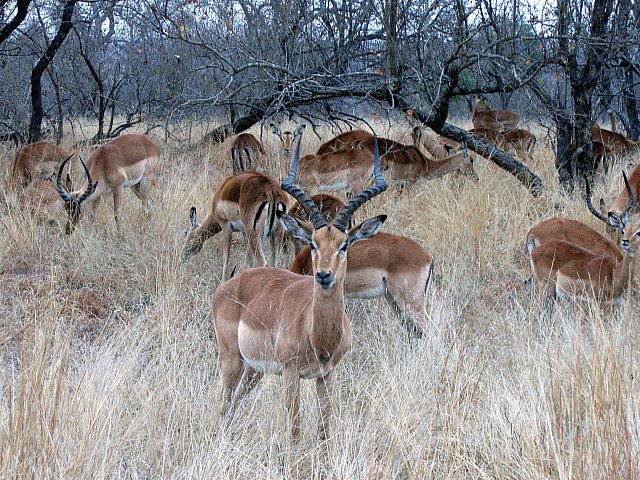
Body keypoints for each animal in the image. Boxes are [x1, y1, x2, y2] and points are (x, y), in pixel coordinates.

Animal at [211, 133, 388, 441]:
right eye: (313, 243)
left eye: (344, 245)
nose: (324, 276)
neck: (317, 334)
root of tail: (227, 286)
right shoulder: (291, 373)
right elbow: (294, 429)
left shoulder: (326, 375)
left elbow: (324, 428)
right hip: (231, 360)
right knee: (224, 402)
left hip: (253, 369)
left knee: (234, 403)